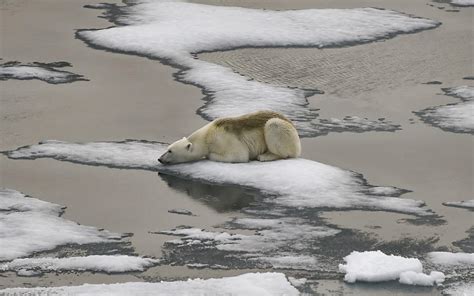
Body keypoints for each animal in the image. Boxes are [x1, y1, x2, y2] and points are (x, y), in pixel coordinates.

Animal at [158, 110, 300, 163]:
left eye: (170, 151)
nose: (159, 159)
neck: (208, 135)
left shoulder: (225, 139)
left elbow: (239, 155)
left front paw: (209, 155)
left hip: (284, 131)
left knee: (274, 126)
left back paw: (265, 156)